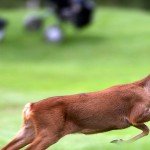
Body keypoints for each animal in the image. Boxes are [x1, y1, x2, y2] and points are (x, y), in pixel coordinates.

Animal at [1, 75, 150, 149]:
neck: (145, 88)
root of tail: (30, 107)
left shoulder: (133, 120)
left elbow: (146, 130)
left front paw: (119, 141)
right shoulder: (135, 115)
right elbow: (146, 129)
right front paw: (119, 141)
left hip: (30, 130)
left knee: (8, 147)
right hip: (50, 131)